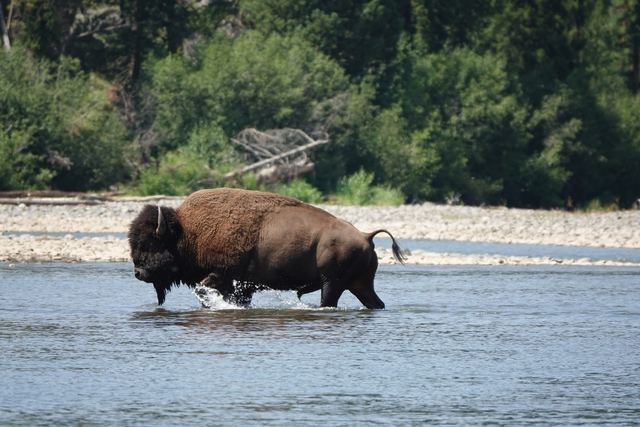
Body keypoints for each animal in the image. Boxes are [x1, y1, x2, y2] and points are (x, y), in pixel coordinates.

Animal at [128, 188, 405, 309]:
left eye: (150, 242)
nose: (138, 273)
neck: (187, 232)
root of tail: (365, 236)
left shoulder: (221, 276)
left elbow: (204, 290)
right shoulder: (241, 286)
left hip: (333, 284)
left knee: (330, 300)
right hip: (359, 284)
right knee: (375, 302)